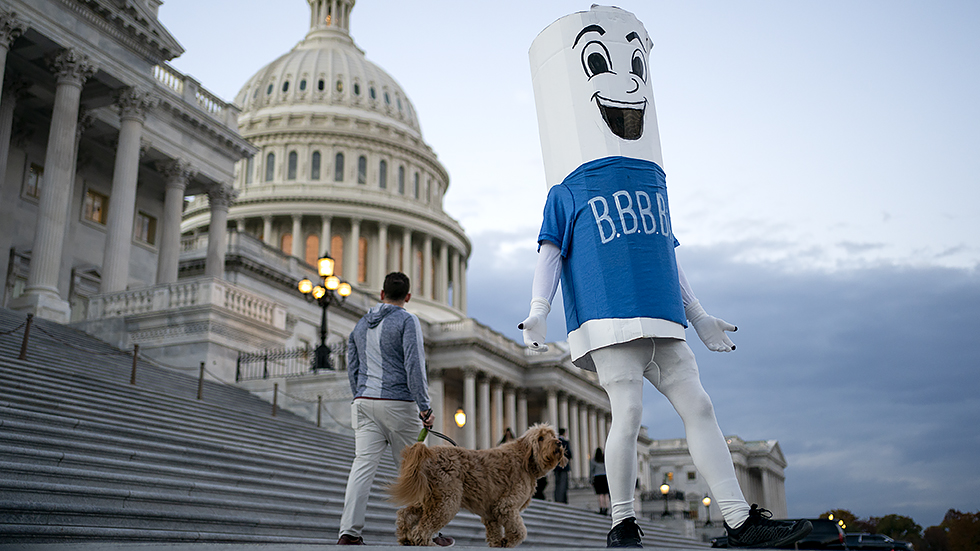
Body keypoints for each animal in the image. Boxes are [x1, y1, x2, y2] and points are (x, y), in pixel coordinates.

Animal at [386, 422, 564, 548]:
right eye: (541, 438)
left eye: (552, 435)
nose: (559, 443)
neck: (526, 460)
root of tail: (430, 452)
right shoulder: (506, 506)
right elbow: (520, 531)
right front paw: (508, 542)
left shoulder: (491, 512)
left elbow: (494, 532)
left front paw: (498, 543)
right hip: (447, 501)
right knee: (422, 527)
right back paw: (425, 542)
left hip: (428, 499)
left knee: (404, 514)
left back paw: (405, 538)